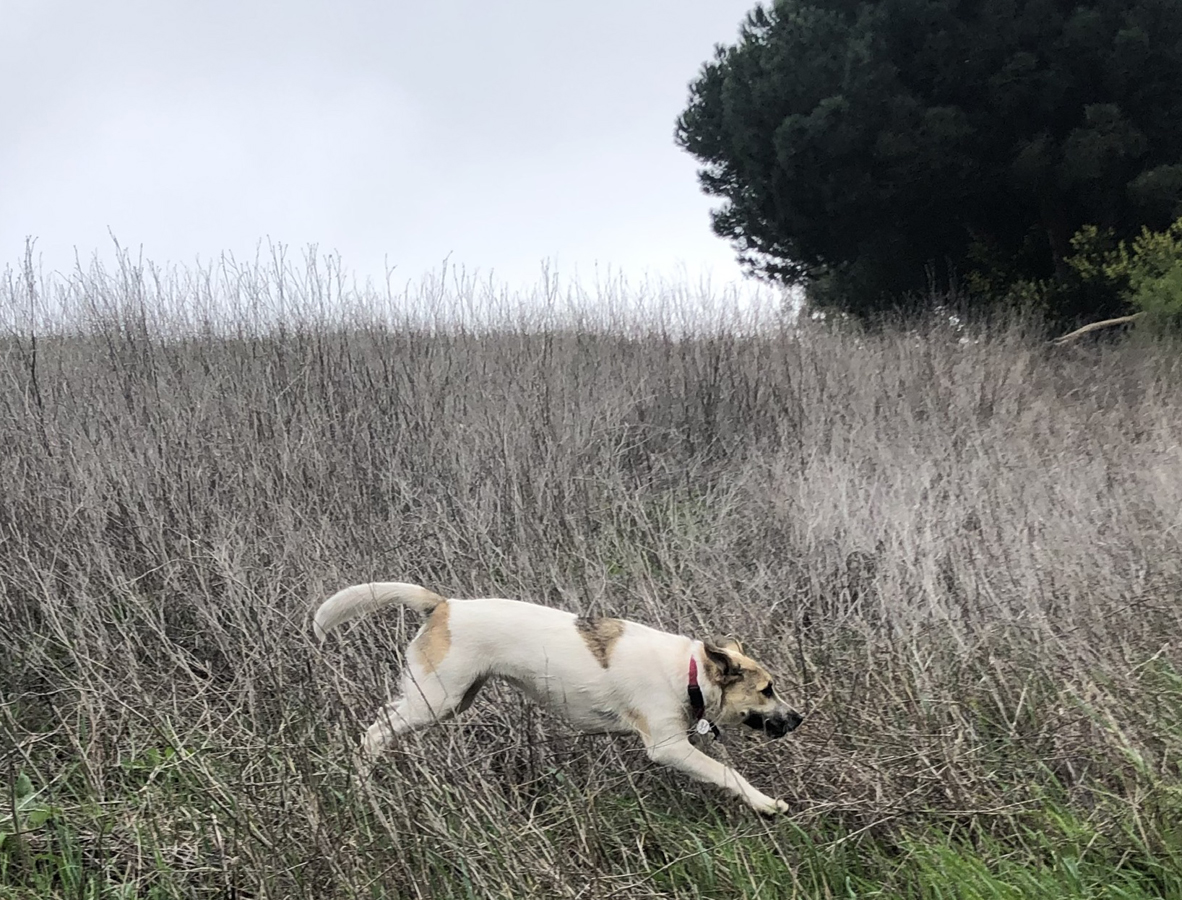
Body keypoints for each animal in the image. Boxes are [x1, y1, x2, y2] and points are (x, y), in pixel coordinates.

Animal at [312, 581, 803, 813]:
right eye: (767, 689)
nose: (798, 718)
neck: (691, 673)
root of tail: (445, 605)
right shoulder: (669, 747)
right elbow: (728, 774)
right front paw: (766, 804)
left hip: (453, 698)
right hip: (435, 700)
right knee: (374, 732)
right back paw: (363, 787)